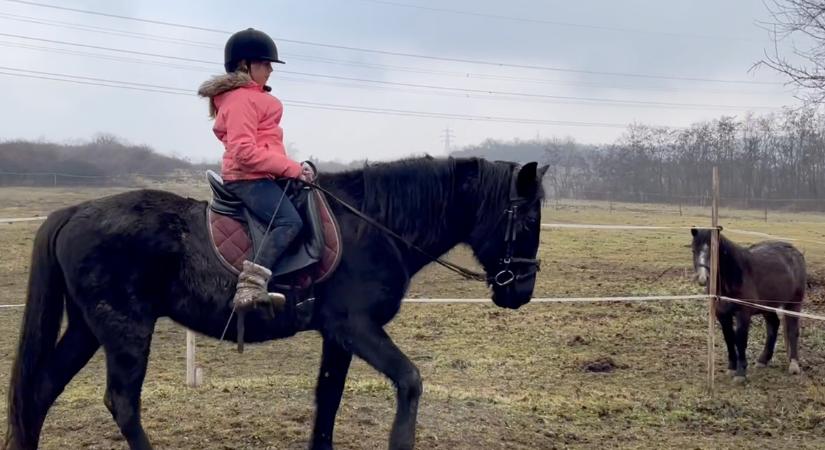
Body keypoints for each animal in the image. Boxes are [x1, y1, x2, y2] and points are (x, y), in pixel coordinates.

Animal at [4, 156, 548, 448]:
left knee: (40, 391)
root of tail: (74, 211)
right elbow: (410, 381)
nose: (520, 291)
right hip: (125, 330)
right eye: (525, 218)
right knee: (121, 402)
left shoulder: (338, 336)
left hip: (87, 328)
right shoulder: (357, 328)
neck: (372, 225)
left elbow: (327, 399)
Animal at [688, 229, 804, 384]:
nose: (702, 278)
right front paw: (732, 367)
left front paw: (740, 373)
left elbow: (741, 339)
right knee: (773, 326)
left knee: (792, 331)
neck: (733, 277)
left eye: (714, 251)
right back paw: (763, 360)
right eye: (693, 250)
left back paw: (794, 364)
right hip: (768, 307)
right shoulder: (722, 314)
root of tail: (795, 252)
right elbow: (729, 338)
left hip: (794, 304)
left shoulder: (743, 314)